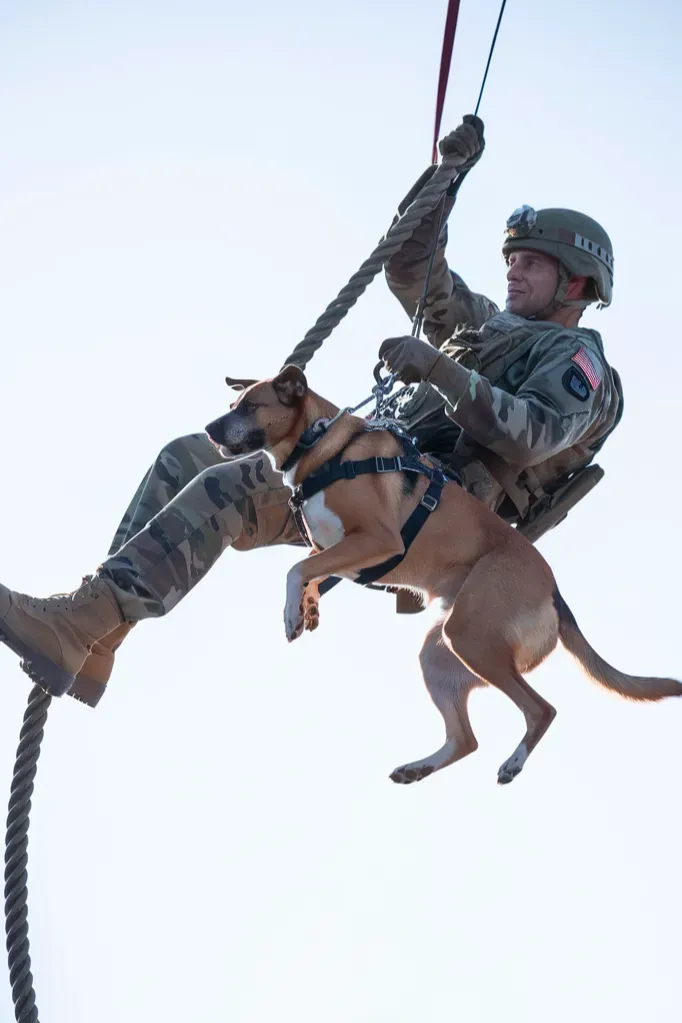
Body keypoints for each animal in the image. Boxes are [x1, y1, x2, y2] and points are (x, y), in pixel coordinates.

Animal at [204, 364, 682, 785]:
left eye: (250, 406)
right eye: (232, 404)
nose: (209, 429)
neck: (325, 447)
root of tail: (554, 592)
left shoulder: (377, 540)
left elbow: (295, 568)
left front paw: (291, 613)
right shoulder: (338, 551)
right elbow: (311, 571)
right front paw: (307, 607)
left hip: (471, 636)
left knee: (541, 709)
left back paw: (513, 762)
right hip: (441, 653)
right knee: (466, 739)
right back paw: (418, 768)